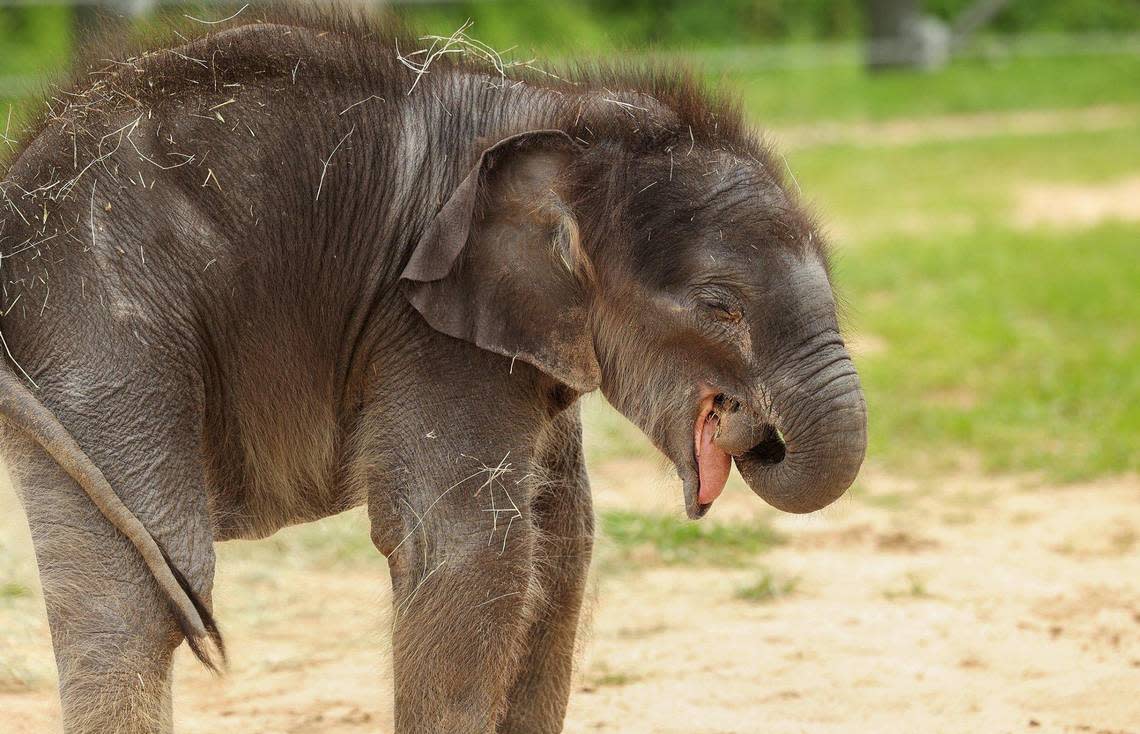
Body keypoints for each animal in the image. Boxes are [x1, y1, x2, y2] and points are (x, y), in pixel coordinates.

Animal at [0, 10, 861, 734]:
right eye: (721, 306)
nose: (755, 430)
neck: (567, 114)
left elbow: (560, 544)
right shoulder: (426, 329)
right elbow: (465, 550)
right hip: (99, 317)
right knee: (140, 593)